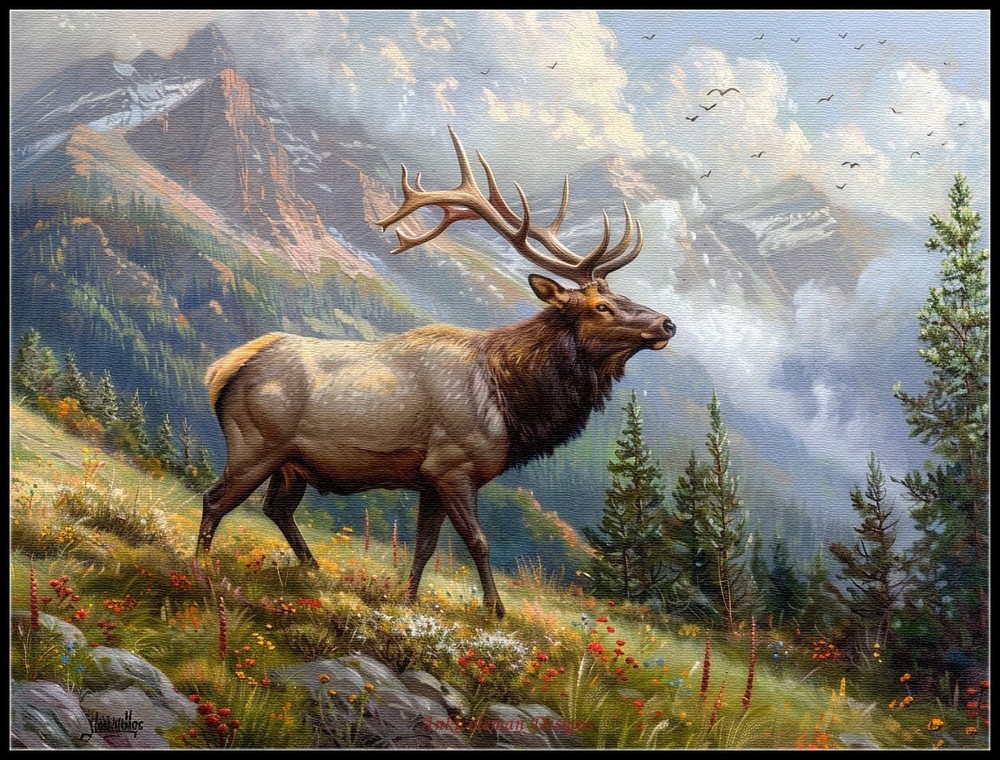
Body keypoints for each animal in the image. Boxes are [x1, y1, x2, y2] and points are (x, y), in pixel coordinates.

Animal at [198, 127, 675, 618]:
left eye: (622, 297)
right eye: (602, 306)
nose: (667, 324)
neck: (511, 403)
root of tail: (222, 370)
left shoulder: (429, 478)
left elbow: (425, 545)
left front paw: (407, 599)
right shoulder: (453, 466)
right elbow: (478, 541)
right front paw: (496, 610)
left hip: (292, 464)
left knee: (276, 509)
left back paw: (313, 568)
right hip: (256, 443)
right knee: (215, 499)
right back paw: (201, 567)